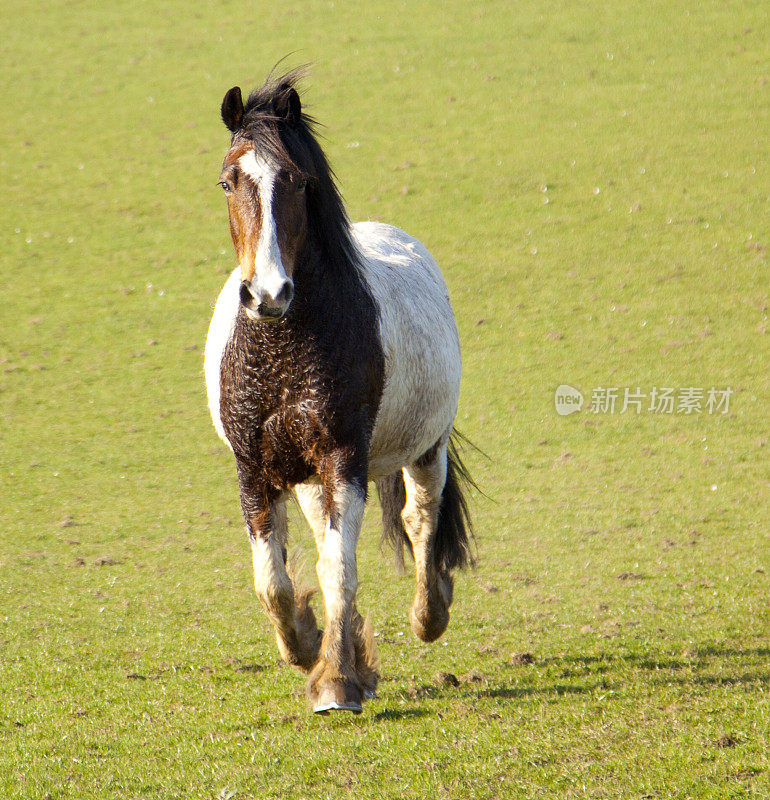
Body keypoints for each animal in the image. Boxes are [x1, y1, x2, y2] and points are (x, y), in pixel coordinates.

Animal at [201, 70, 472, 712]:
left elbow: (339, 571)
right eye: (228, 180)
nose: (268, 294)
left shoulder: (346, 461)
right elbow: (273, 582)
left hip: (425, 449)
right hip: (304, 477)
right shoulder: (254, 469)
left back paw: (429, 614)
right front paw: (305, 644)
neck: (287, 344)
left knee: (421, 520)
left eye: (299, 181)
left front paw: (338, 682)